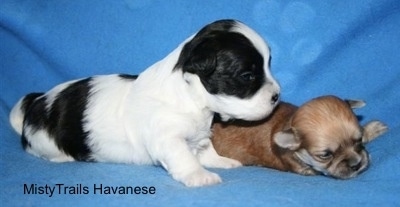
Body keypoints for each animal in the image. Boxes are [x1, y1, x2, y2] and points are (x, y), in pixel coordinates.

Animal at [9, 19, 280, 188]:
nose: (277, 96)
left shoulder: (199, 134)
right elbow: (184, 157)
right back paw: (62, 158)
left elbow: (205, 149)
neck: (190, 97)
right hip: (43, 141)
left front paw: (221, 161)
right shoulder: (167, 138)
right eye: (247, 75)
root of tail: (38, 100)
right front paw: (200, 175)